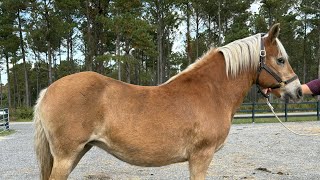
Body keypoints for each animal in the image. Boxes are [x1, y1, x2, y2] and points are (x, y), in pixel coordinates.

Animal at [34, 23, 302, 179]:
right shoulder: (201, 157)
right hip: (66, 156)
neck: (211, 92)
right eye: (280, 60)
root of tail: (48, 89)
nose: (297, 91)